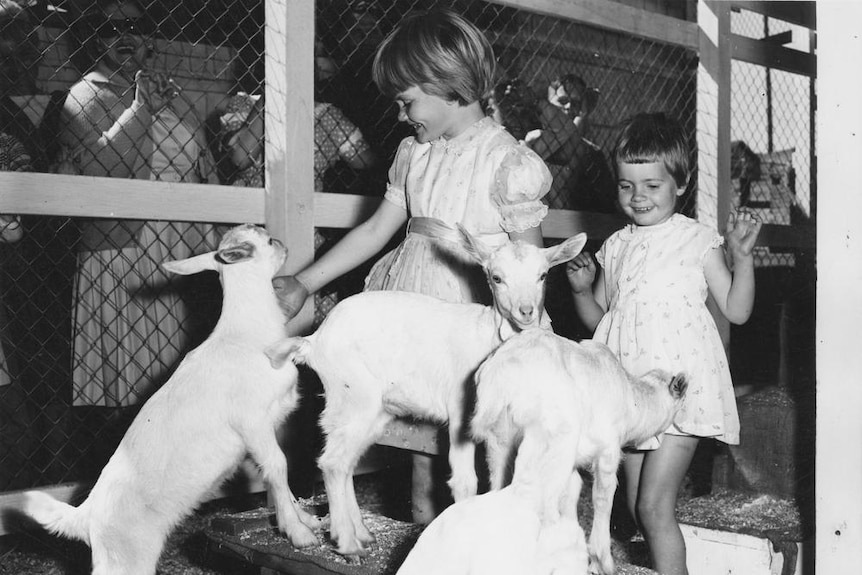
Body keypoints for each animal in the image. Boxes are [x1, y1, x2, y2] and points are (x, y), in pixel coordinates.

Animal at [23, 225, 320, 575]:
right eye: (269, 240)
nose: (284, 245)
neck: (245, 335)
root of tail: (86, 518)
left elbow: (278, 470)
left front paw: (305, 519)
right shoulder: (252, 422)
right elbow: (277, 465)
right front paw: (298, 532)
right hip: (126, 560)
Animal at [472, 328, 688, 575]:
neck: (633, 403)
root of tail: (503, 372)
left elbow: (572, 491)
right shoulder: (608, 449)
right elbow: (604, 496)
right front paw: (602, 561)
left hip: (499, 442)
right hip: (550, 439)